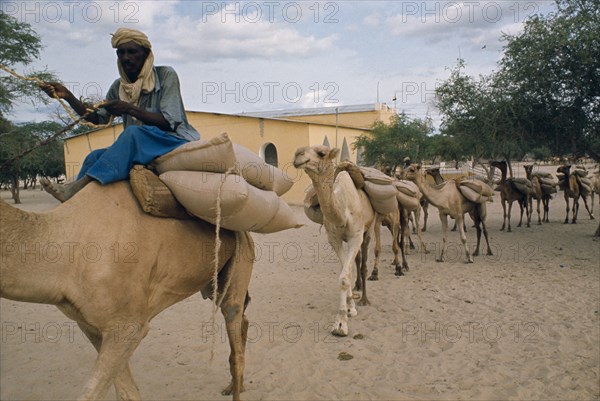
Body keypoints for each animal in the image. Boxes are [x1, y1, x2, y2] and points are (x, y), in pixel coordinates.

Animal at [0, 182, 253, 400]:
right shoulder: (91, 326)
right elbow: (127, 391)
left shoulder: (128, 324)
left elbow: (94, 393)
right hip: (214, 282)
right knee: (241, 319)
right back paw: (234, 385)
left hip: (240, 257)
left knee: (234, 329)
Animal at [292, 145, 372, 336]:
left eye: (321, 153)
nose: (298, 154)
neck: (342, 210)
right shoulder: (334, 240)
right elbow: (344, 272)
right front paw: (349, 309)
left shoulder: (356, 236)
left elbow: (344, 276)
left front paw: (341, 324)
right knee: (355, 263)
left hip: (370, 228)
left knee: (364, 260)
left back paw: (365, 298)